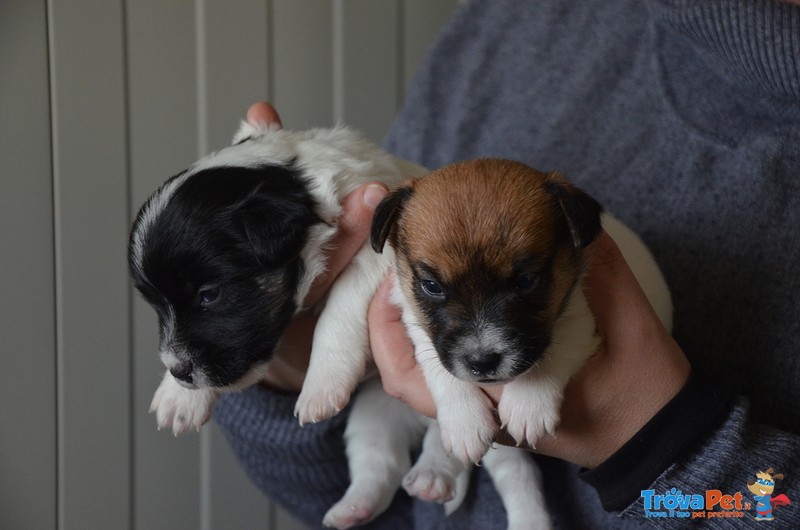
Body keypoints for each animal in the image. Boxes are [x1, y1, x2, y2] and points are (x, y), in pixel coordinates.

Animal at [128, 121, 544, 524]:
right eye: (156, 305)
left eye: (209, 295)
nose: (179, 370)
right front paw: (179, 396)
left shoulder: (376, 259)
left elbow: (339, 311)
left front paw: (321, 386)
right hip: (373, 414)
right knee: (382, 463)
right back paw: (382, 497)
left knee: (512, 473)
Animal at [372, 158, 672, 462]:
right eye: (432, 286)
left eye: (526, 280)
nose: (482, 361)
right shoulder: (416, 324)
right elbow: (439, 367)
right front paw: (464, 423)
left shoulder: (581, 318)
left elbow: (555, 350)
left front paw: (528, 406)